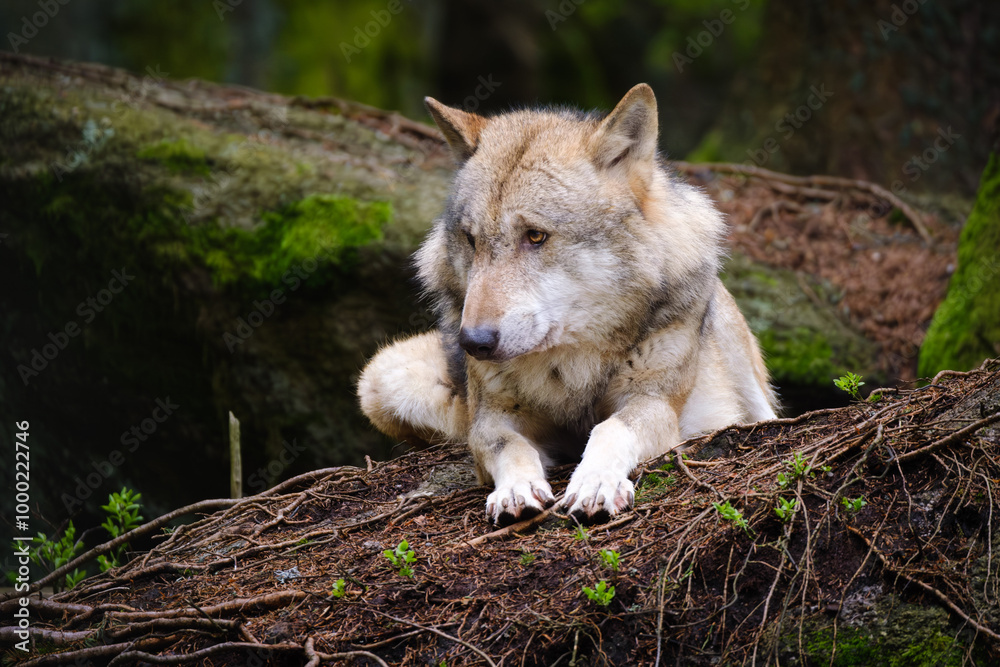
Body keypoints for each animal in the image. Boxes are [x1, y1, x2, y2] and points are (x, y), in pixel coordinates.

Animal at [359, 83, 778, 526]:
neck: (573, 363)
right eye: (471, 240)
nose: (473, 342)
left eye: (536, 236)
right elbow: (507, 445)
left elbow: (608, 429)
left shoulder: (654, 404)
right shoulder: (490, 419)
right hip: (380, 379)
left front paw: (596, 482)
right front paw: (515, 490)